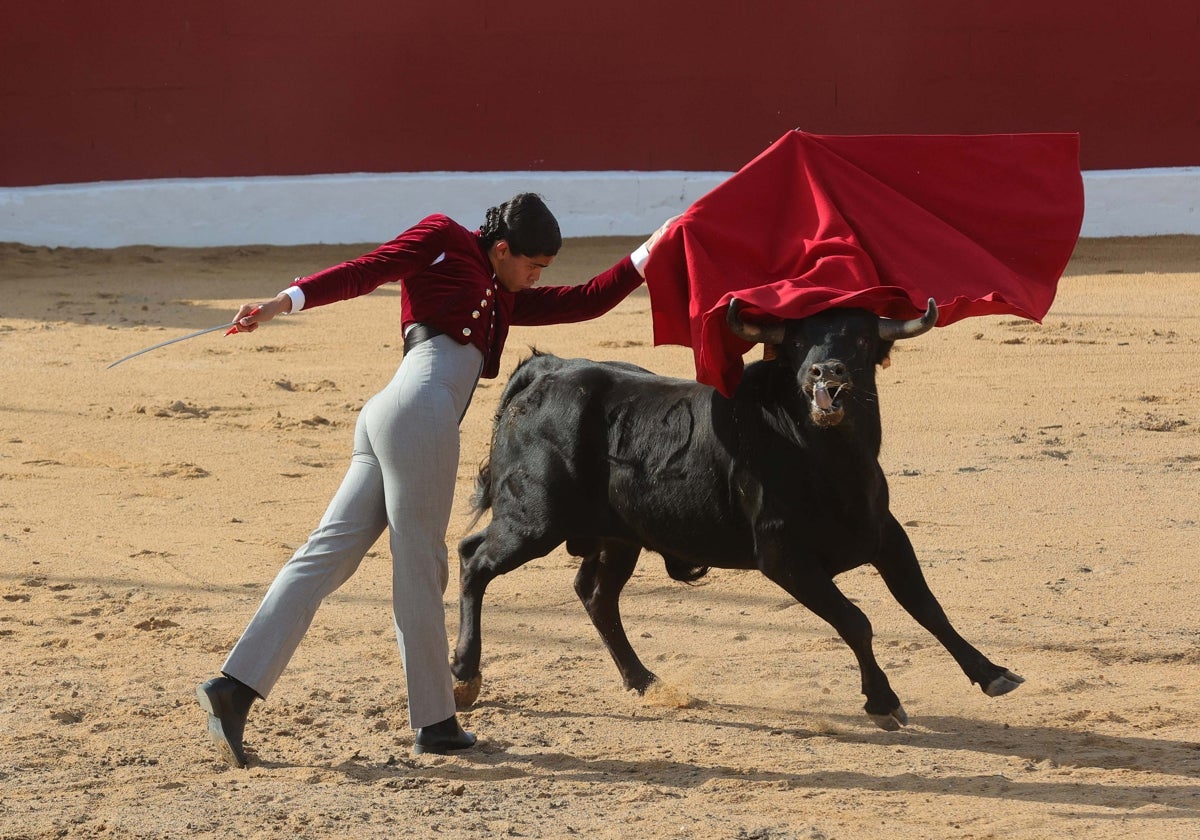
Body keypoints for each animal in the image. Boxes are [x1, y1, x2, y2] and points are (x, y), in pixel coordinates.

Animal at [451, 300, 1022, 729]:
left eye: (860, 341)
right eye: (798, 344)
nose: (826, 373)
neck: (826, 460)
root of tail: (545, 370)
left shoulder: (886, 535)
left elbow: (927, 606)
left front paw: (992, 672)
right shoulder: (783, 556)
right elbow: (856, 621)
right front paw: (882, 702)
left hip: (620, 537)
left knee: (595, 593)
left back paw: (643, 681)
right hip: (533, 521)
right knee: (474, 559)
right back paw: (464, 675)